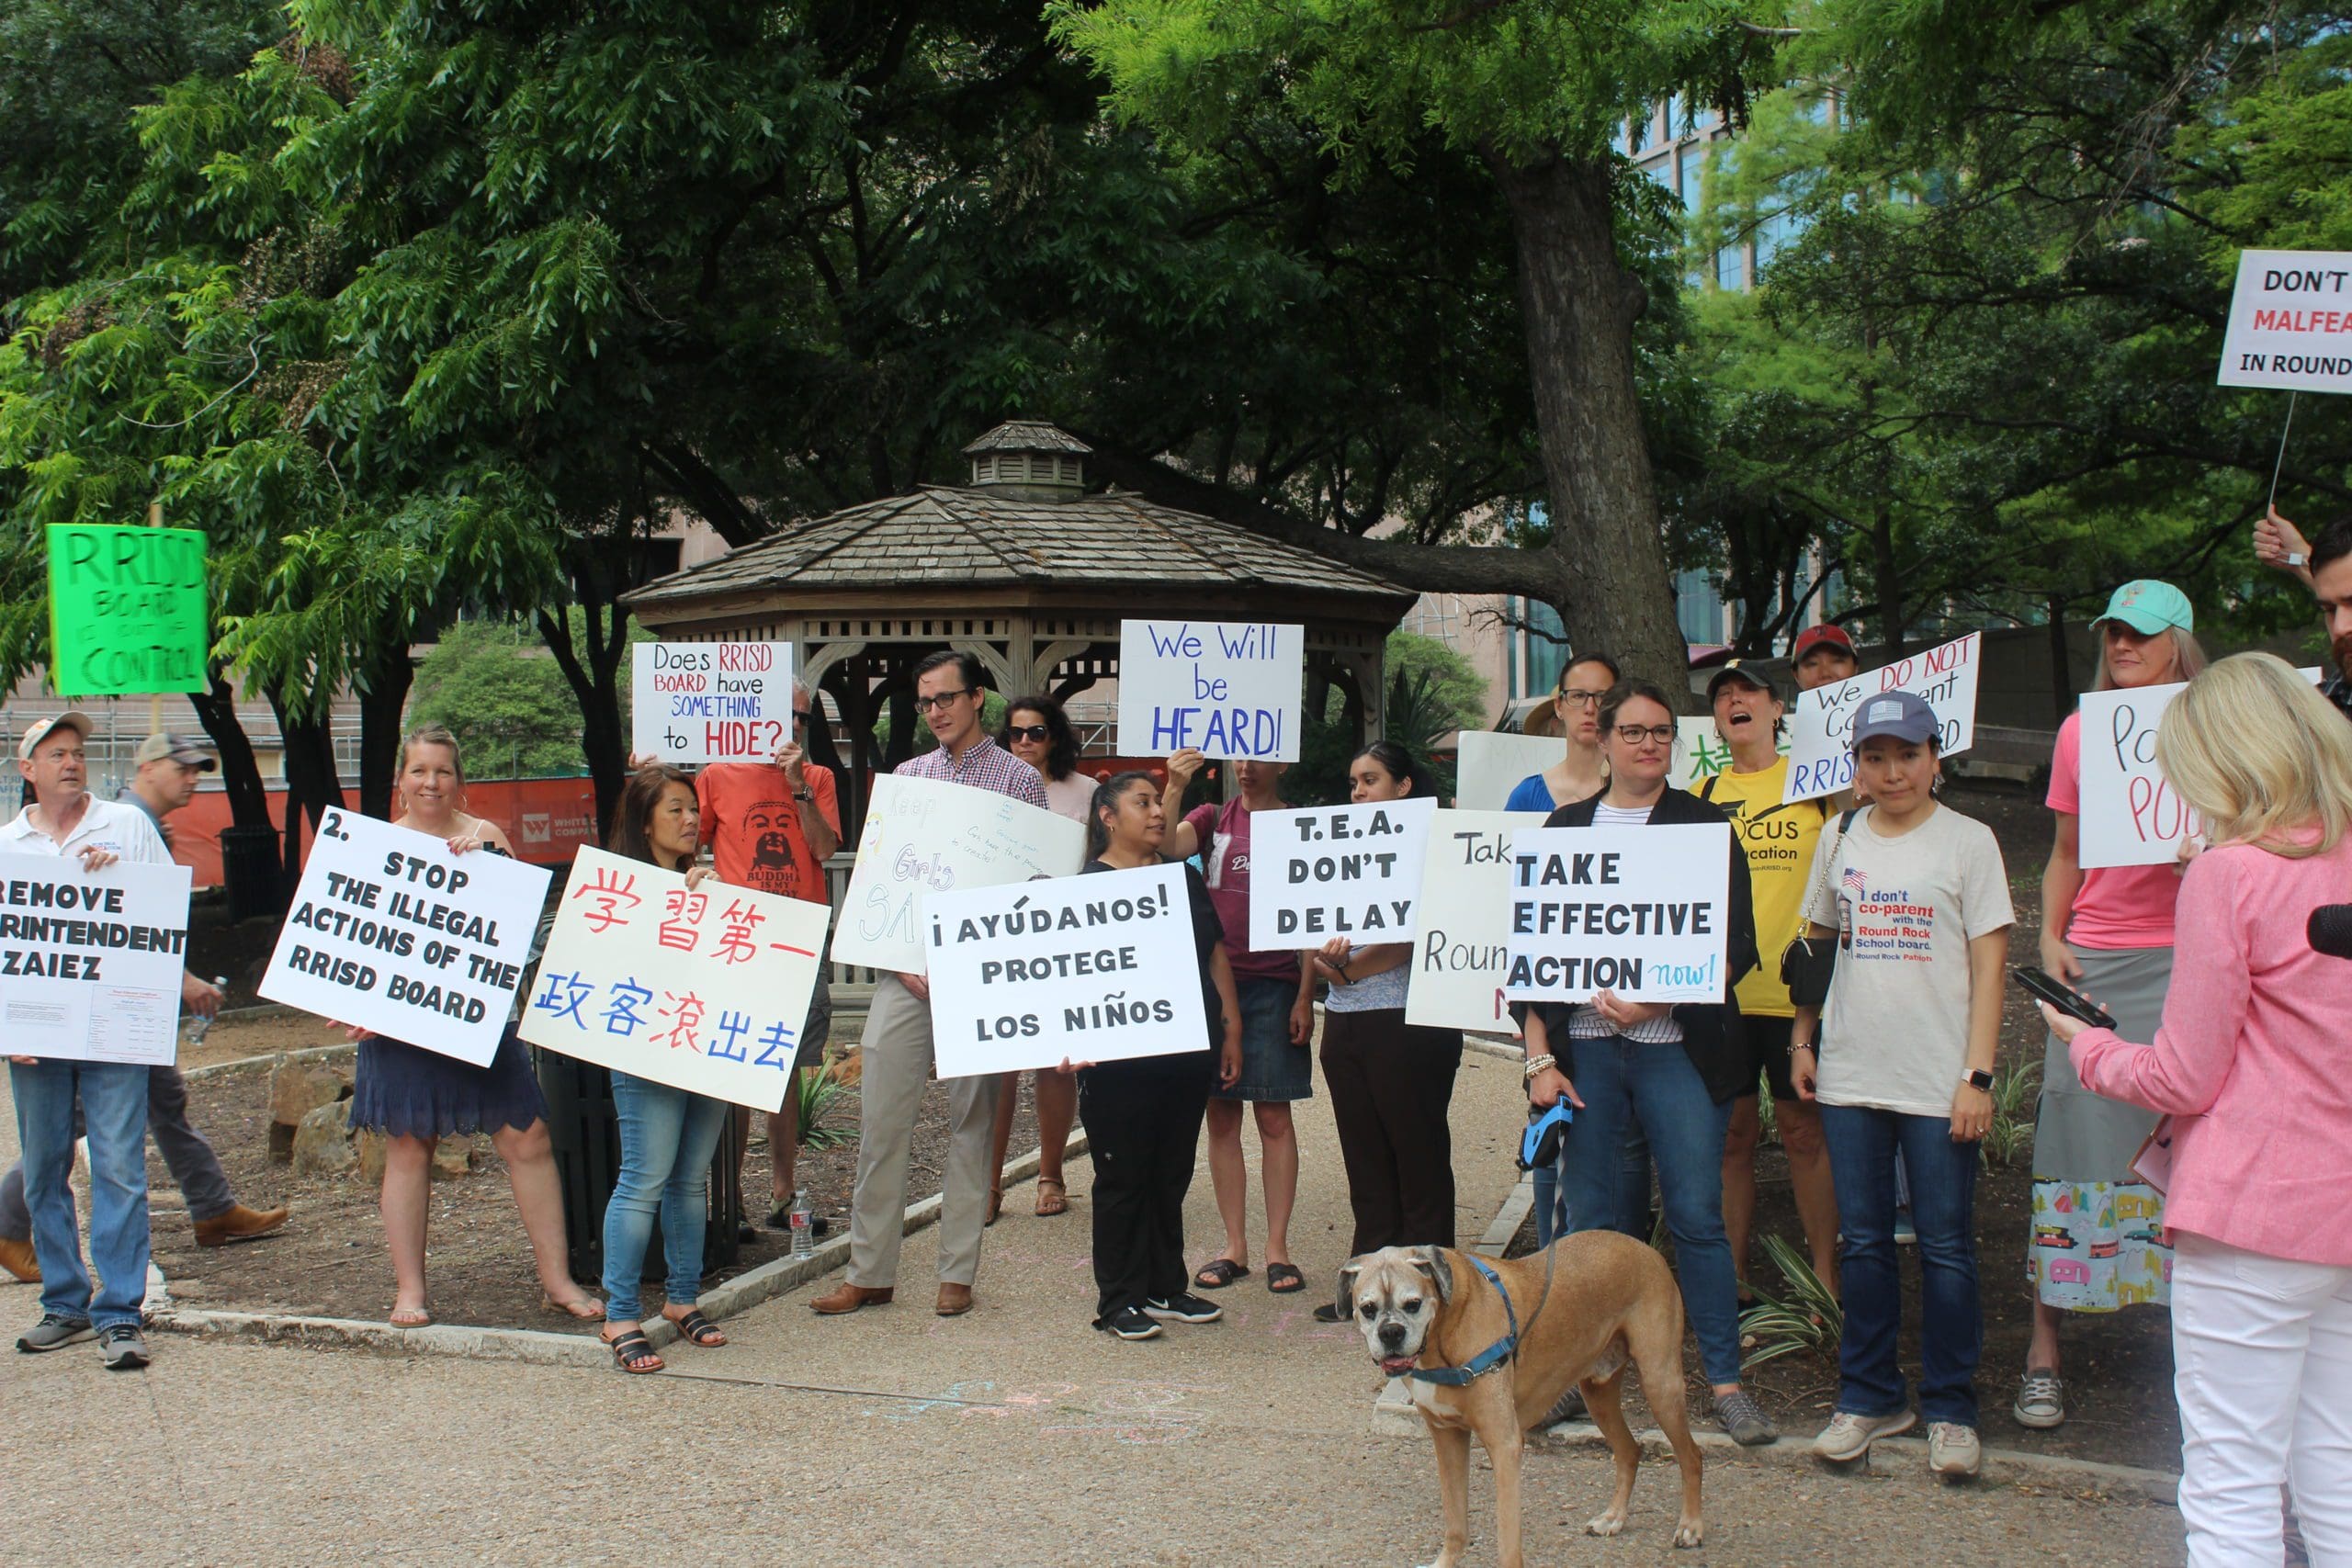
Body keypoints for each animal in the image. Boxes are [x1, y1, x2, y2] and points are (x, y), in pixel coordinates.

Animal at [1345, 1241, 1712, 1561]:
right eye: (1368, 1309)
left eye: (1413, 1303)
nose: (1391, 1333)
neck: (1443, 1334)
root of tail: (1646, 1249)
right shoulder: (1447, 1439)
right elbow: (1456, 1525)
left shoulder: (1504, 1445)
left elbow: (1507, 1539)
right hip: (1598, 1394)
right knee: (1629, 1451)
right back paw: (1614, 1518)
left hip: (1660, 1384)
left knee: (1691, 1456)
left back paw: (1691, 1527)